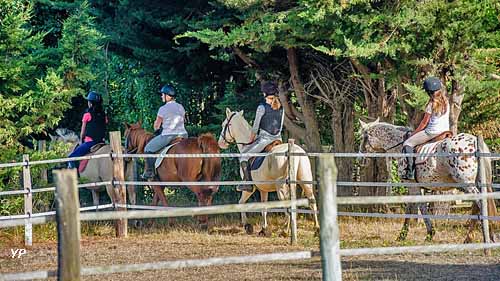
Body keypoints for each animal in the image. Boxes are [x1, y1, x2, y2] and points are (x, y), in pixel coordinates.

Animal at [360, 117, 496, 242]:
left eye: (363, 137)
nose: (361, 159)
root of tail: (474, 141)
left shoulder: (411, 185)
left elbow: (418, 207)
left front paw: (426, 234)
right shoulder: (416, 186)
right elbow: (414, 207)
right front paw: (406, 234)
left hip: (468, 184)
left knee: (481, 204)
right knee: (479, 206)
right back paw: (476, 237)